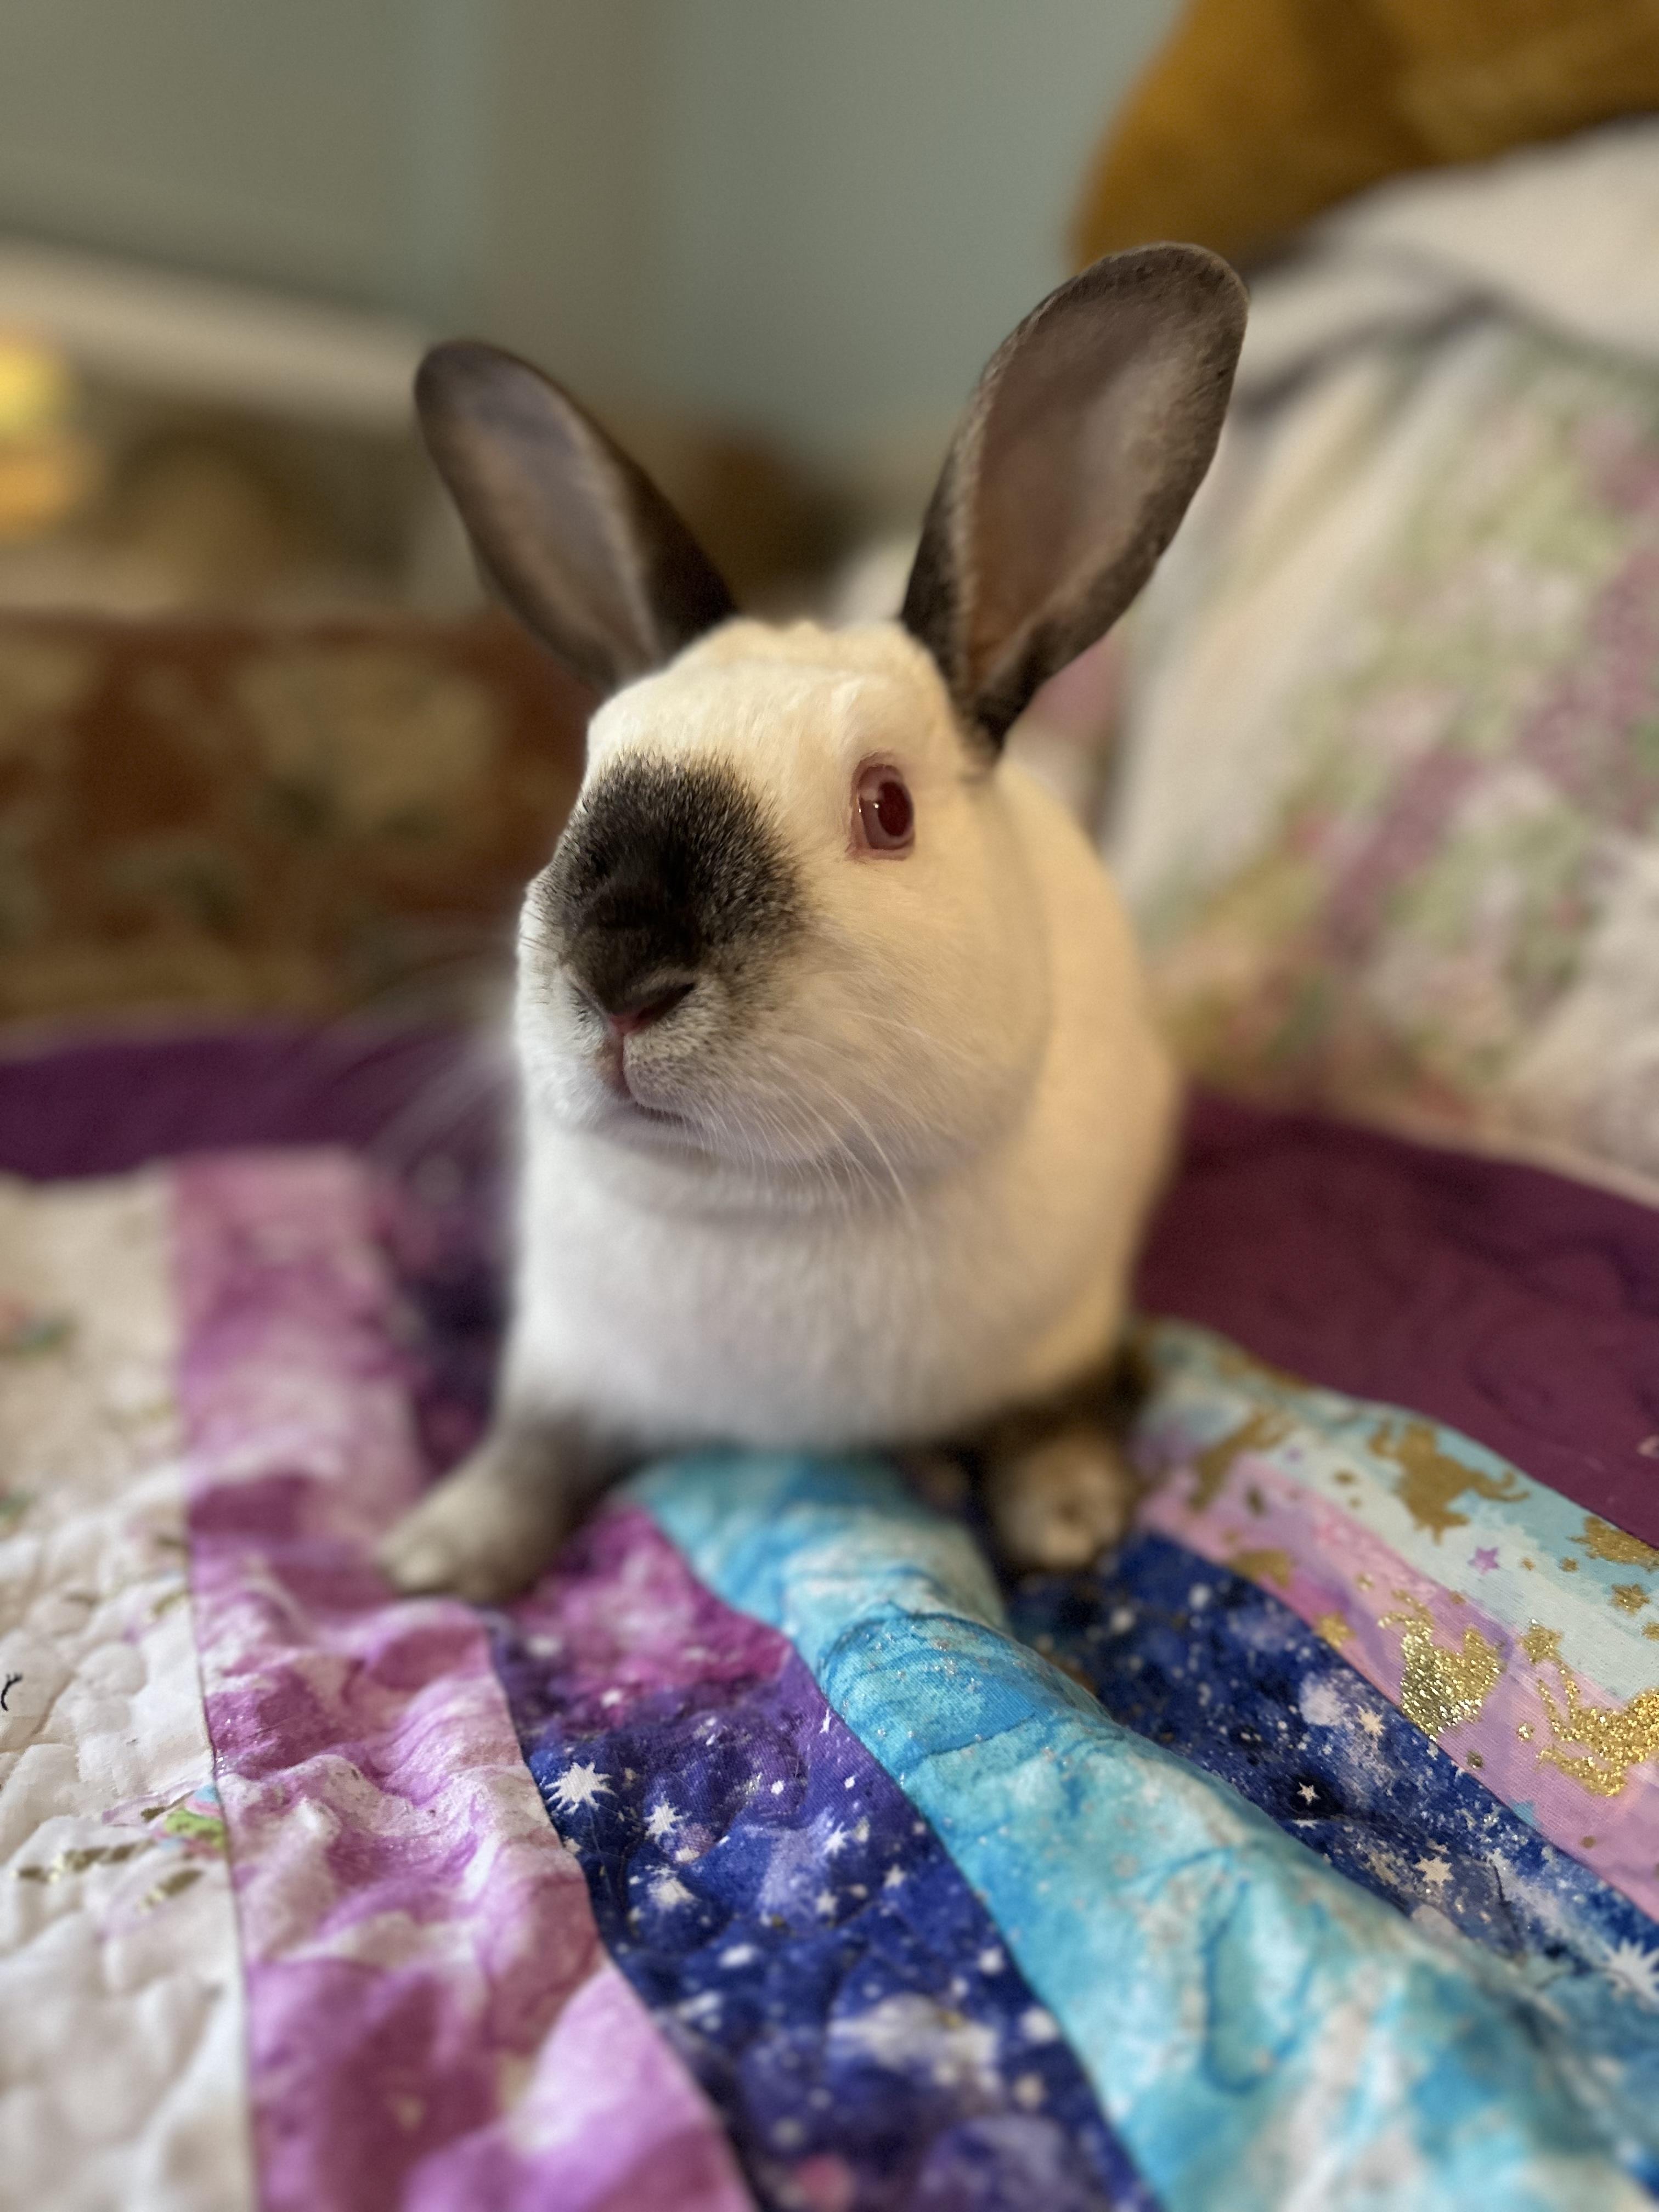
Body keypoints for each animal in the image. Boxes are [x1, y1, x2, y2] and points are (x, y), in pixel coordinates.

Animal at [379, 243, 1247, 1604]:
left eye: (888, 808)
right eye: (585, 776)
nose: (620, 979)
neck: (769, 1208)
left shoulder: (1060, 1332)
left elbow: (1051, 1414)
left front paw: (1072, 1519)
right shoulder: (566, 1357)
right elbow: (529, 1450)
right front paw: (437, 1553)